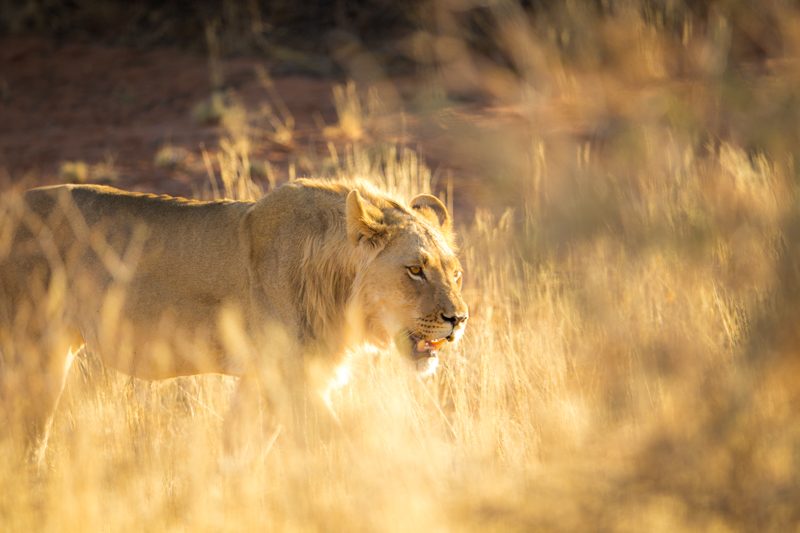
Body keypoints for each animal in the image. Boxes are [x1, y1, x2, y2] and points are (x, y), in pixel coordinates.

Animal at [0, 178, 468, 458]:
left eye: (456, 273)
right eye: (415, 269)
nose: (459, 319)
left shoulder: (259, 381)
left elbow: (239, 451)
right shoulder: (291, 380)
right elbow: (345, 446)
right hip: (34, 354)